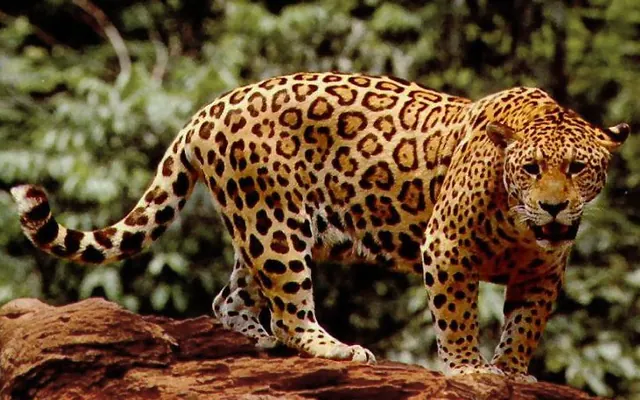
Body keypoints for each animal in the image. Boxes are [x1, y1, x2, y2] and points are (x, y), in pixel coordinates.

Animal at [11, 72, 629, 381]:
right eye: (531, 169)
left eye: (577, 168)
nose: (553, 207)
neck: (520, 224)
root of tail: (207, 110)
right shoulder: (446, 245)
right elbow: (456, 315)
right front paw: (468, 370)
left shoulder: (543, 272)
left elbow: (525, 325)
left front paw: (514, 372)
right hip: (276, 225)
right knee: (289, 309)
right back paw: (334, 349)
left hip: (259, 226)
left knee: (229, 297)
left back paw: (256, 342)